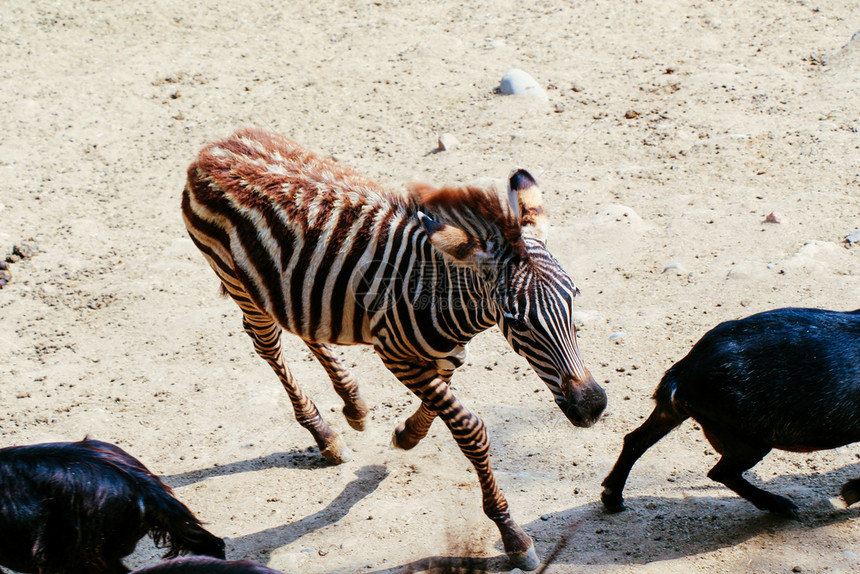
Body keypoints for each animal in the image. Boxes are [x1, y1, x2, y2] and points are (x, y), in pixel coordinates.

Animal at [183, 128, 604, 572]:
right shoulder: (396, 356)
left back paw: (352, 403)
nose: (592, 406)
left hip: (286, 287)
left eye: (574, 297)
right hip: (240, 285)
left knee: (306, 322)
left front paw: (406, 435)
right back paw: (324, 433)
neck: (446, 297)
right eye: (517, 320)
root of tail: (215, 147)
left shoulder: (448, 352)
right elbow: (469, 427)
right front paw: (511, 534)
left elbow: (438, 404)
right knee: (266, 343)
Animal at [600, 310, 860, 516]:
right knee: (721, 472)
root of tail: (683, 373)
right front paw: (850, 492)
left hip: (671, 413)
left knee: (635, 440)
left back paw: (612, 497)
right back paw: (780, 505)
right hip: (749, 439)